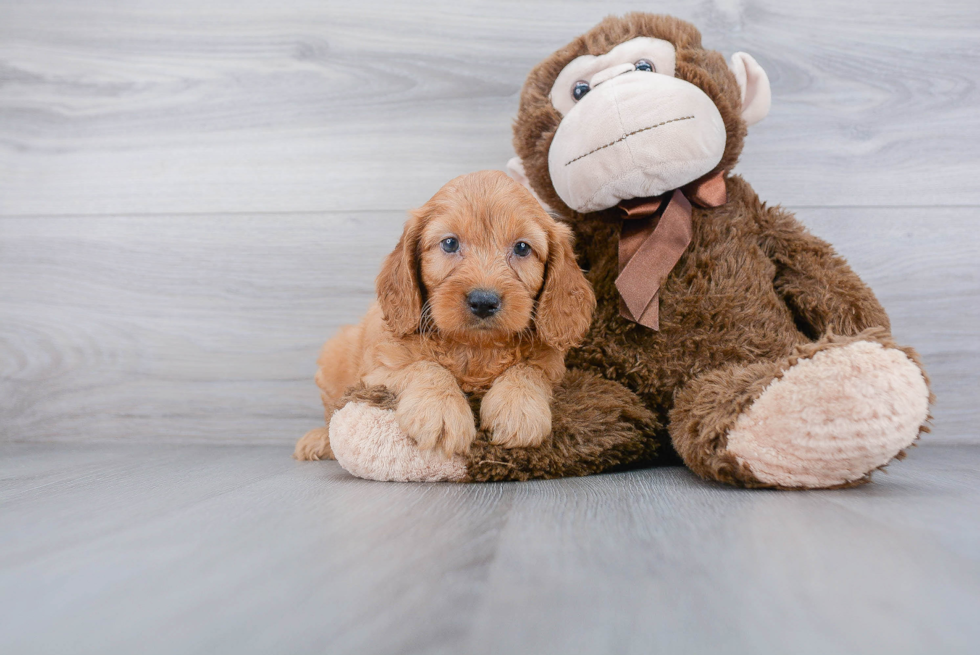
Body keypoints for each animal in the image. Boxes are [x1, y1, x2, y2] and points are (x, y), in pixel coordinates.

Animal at [294, 169, 592, 462]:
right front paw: (441, 409)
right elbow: (424, 366)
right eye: (449, 243)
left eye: (522, 248)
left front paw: (518, 408)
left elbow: (529, 369)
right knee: (331, 410)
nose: (483, 301)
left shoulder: (553, 367)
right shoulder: (380, 369)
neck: (475, 348)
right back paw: (319, 440)